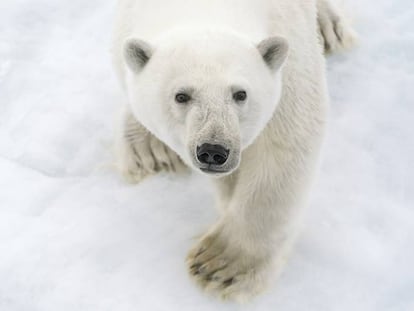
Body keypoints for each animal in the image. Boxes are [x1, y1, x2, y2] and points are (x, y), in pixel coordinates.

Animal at [112, 0, 356, 304]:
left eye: (240, 94)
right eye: (181, 96)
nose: (213, 150)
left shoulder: (291, 53)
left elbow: (285, 142)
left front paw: (221, 266)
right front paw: (150, 148)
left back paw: (328, 25)